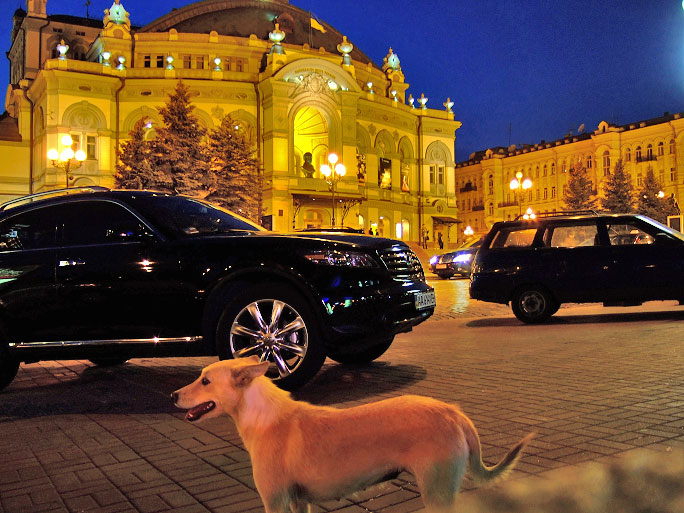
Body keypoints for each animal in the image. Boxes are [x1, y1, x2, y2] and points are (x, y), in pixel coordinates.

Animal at [172, 356, 536, 512]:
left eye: (205, 380)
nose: (173, 395)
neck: (264, 418)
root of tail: (453, 412)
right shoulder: (298, 502)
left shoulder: (274, 501)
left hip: (437, 492)